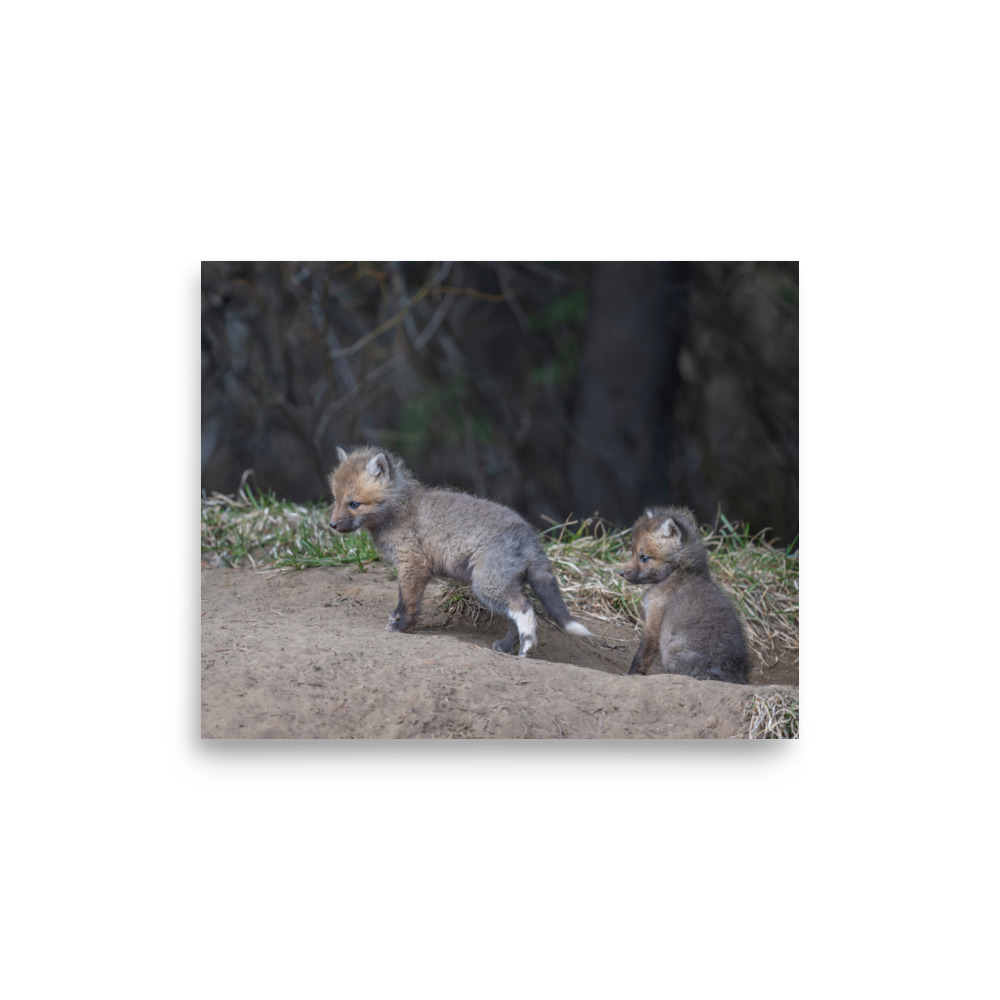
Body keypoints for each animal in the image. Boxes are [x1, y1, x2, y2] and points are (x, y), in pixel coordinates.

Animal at [328, 446, 592, 657]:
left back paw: (527, 647)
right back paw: (507, 647)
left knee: (524, 608)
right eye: (335, 500)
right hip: (499, 587)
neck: (399, 510)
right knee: (513, 618)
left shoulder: (413, 564)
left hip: (487, 584)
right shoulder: (410, 568)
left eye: (354, 504)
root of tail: (530, 537)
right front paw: (398, 617)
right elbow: (403, 598)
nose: (332, 525)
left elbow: (409, 601)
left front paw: (403, 626)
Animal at [619, 505, 749, 683]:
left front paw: (630, 675)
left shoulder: (654, 620)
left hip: (670, 654)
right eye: (632, 552)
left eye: (644, 557)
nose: (621, 573)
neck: (680, 573)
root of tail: (731, 675)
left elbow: (641, 656)